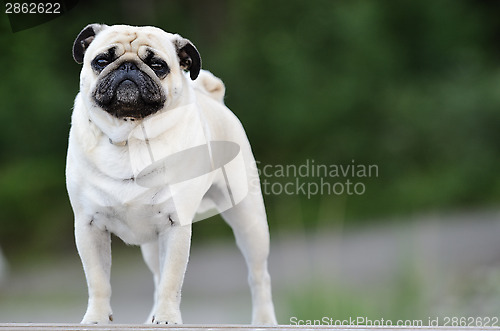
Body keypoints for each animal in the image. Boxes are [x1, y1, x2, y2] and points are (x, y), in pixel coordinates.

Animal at [66, 24, 278, 326]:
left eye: (158, 65)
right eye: (102, 60)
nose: (128, 66)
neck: (131, 138)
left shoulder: (175, 225)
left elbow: (171, 281)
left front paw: (167, 319)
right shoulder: (88, 225)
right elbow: (98, 281)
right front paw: (96, 318)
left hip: (250, 222)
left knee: (259, 276)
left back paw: (264, 320)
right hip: (151, 244)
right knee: (156, 277)